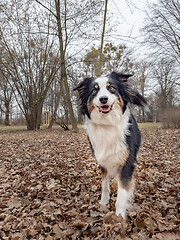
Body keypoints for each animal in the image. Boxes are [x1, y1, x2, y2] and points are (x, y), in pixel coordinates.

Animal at [74, 71, 147, 219]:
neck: (107, 124)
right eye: (94, 90)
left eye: (111, 88)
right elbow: (104, 185)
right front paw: (103, 202)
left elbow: (122, 193)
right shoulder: (103, 161)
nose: (103, 99)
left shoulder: (126, 163)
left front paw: (119, 217)